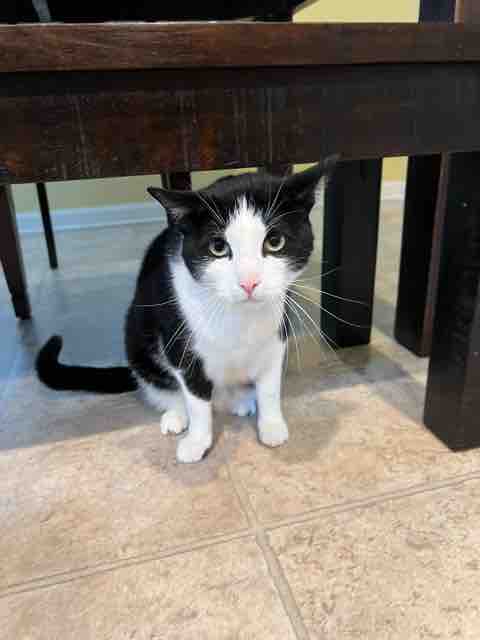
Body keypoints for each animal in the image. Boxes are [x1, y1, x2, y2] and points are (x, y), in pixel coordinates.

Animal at [36, 156, 339, 463]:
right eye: (218, 247)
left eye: (275, 242)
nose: (249, 282)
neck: (237, 317)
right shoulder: (179, 339)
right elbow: (196, 398)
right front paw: (197, 441)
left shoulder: (276, 333)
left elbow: (270, 386)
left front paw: (272, 426)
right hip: (136, 335)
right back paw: (176, 414)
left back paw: (241, 400)